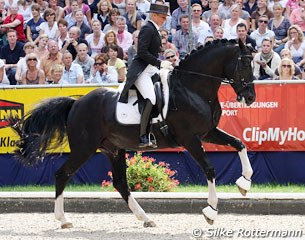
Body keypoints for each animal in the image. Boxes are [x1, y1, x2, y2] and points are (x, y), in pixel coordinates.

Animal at [10, 38, 254, 228]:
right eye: (243, 64)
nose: (250, 97)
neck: (193, 87)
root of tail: (76, 103)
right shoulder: (190, 138)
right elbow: (210, 168)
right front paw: (211, 210)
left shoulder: (207, 132)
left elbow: (239, 144)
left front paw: (244, 184)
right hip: (84, 148)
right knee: (63, 174)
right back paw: (63, 220)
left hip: (113, 149)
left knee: (120, 183)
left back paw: (145, 218)